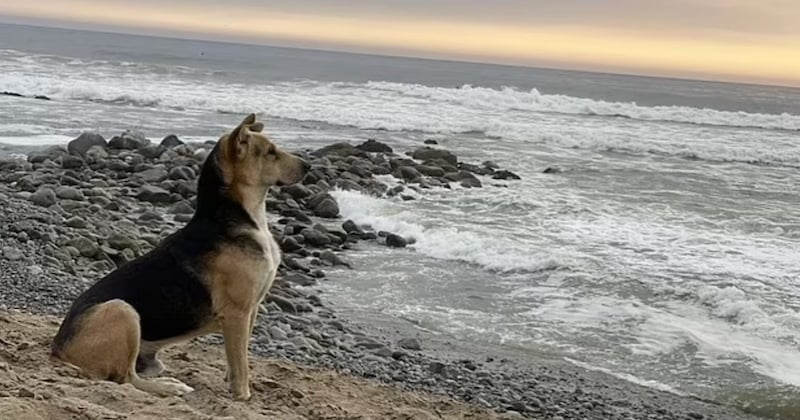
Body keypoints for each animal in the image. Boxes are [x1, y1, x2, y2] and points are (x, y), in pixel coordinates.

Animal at [50, 114, 306, 400]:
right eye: (271, 152)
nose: (308, 166)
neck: (237, 217)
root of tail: (58, 347)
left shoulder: (251, 310)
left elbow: (236, 357)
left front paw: (231, 382)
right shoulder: (238, 313)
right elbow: (241, 362)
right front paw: (242, 395)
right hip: (122, 310)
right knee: (126, 379)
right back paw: (170, 387)